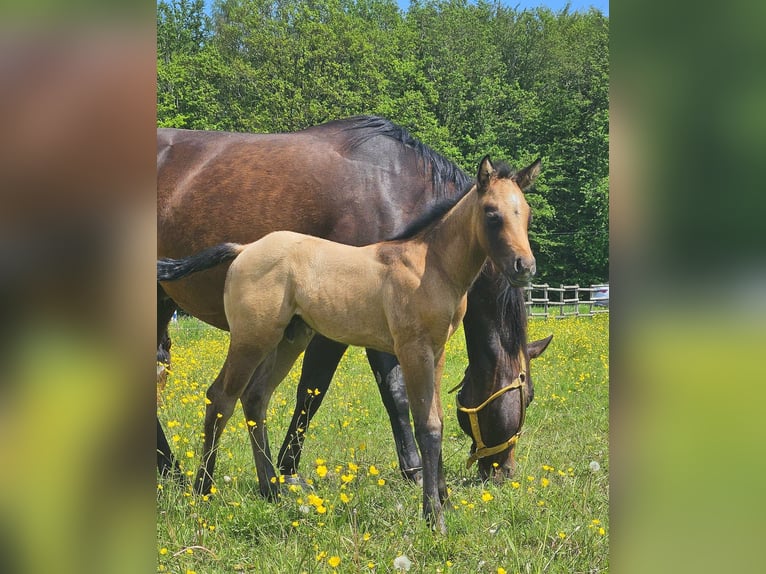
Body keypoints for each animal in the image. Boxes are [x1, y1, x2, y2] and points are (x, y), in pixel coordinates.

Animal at [159, 117, 548, 486]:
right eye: (525, 396)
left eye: (529, 215)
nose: (503, 471)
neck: (395, 191)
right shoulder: (339, 330)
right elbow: (320, 392)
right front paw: (290, 468)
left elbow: (392, 392)